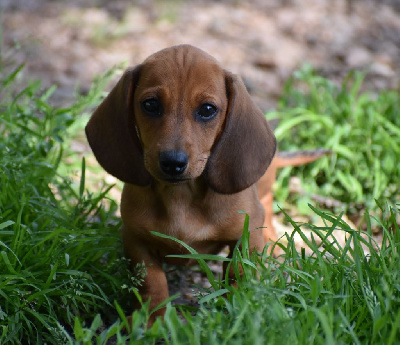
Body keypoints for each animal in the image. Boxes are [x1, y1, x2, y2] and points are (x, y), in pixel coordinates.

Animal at [86, 43, 278, 322]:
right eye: (150, 104)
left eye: (207, 109)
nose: (173, 162)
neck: (181, 195)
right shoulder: (135, 239)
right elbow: (151, 281)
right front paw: (152, 318)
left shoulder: (248, 232)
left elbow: (238, 273)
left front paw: (236, 309)